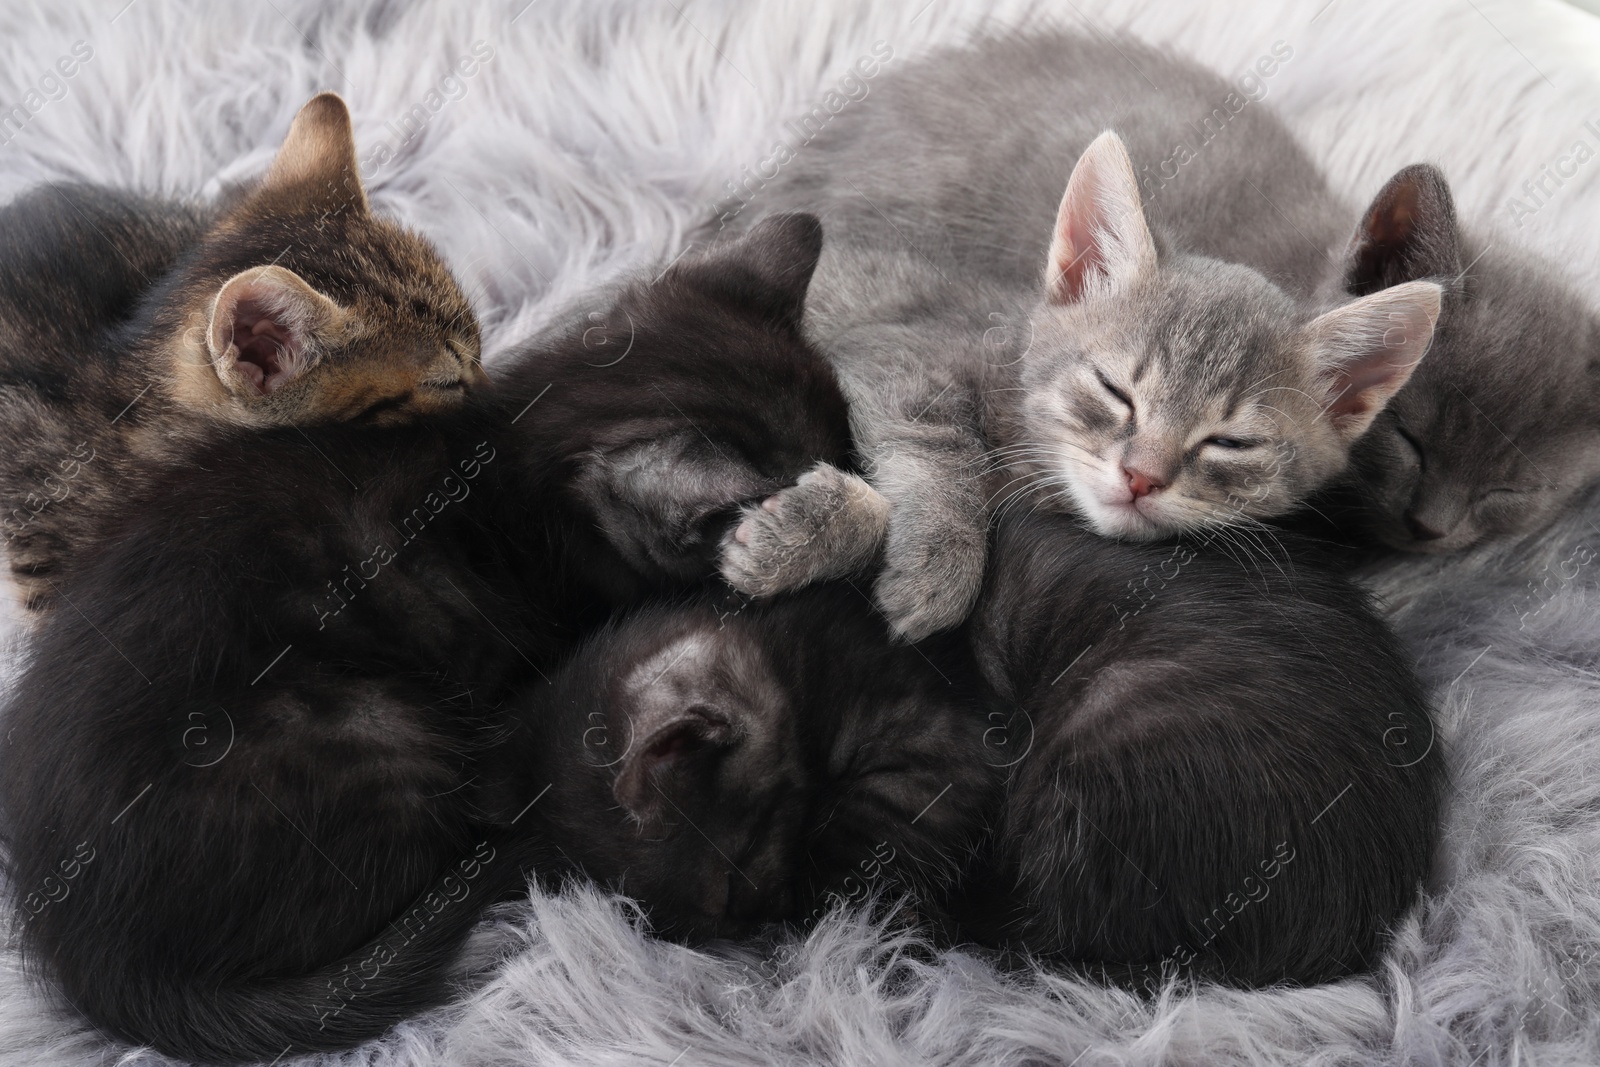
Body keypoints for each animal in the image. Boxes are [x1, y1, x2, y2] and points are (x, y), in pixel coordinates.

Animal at [720, 29, 1446, 639]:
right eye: (1114, 390)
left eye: (1232, 442)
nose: (1141, 478)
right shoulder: (897, 353)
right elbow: (940, 452)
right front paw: (933, 564)